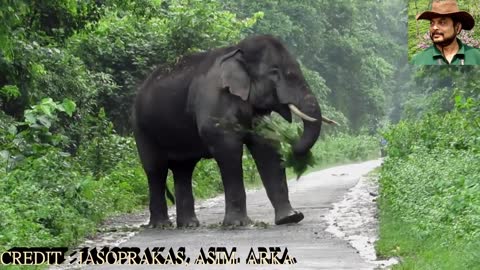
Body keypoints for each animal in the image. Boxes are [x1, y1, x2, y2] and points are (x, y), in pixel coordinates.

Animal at [133, 34, 332, 228]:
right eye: (274, 72)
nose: (294, 147)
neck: (236, 50)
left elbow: (267, 148)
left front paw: (291, 218)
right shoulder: (214, 101)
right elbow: (229, 151)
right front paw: (238, 223)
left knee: (183, 169)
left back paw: (189, 225)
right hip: (141, 128)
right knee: (155, 169)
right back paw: (161, 225)